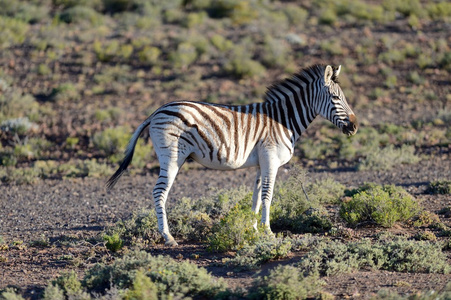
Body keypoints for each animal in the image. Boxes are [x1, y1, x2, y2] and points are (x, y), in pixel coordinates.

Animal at [107, 64, 358, 245]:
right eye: (336, 98)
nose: (355, 127)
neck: (282, 120)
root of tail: (157, 111)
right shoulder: (271, 160)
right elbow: (268, 196)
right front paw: (268, 232)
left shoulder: (261, 163)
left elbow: (256, 197)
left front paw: (253, 229)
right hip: (171, 156)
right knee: (159, 192)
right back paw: (168, 237)